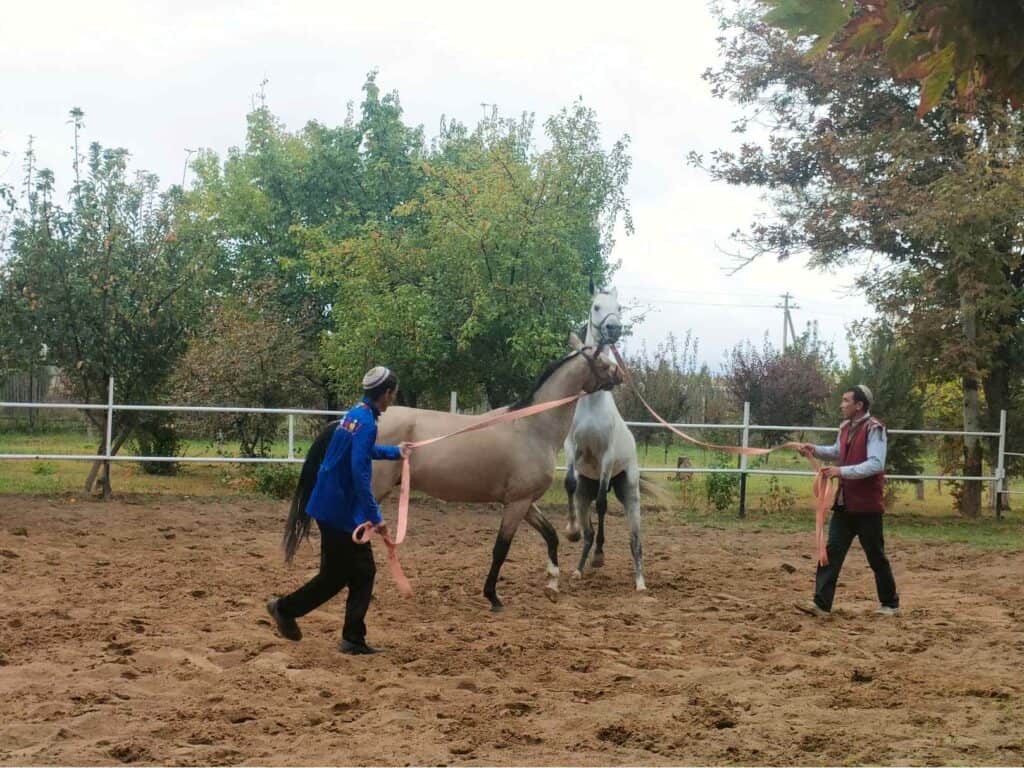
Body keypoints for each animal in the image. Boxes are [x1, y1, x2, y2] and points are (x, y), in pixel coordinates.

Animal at [372, 335, 618, 614]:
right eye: (603, 362)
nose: (620, 375)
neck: (532, 427)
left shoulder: (525, 502)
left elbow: (551, 535)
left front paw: (552, 584)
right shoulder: (516, 504)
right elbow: (501, 549)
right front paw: (493, 596)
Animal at [565, 286, 643, 593]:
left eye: (618, 307)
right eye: (596, 306)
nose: (613, 329)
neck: (592, 404)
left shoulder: (607, 458)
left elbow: (602, 505)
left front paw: (600, 556)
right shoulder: (572, 450)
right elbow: (569, 483)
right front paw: (571, 531)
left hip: (629, 490)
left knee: (635, 541)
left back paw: (640, 582)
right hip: (586, 491)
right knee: (587, 527)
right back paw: (577, 569)